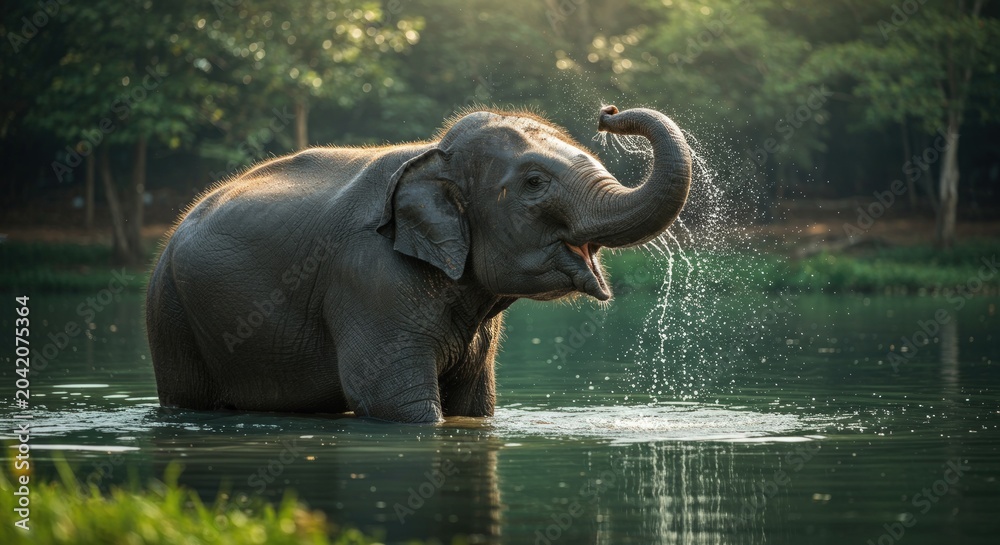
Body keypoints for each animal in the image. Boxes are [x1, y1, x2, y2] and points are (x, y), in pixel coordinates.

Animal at [145, 105, 692, 423]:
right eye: (535, 182)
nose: (608, 112)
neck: (435, 153)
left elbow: (475, 408)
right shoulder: (370, 280)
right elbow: (392, 402)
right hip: (170, 313)